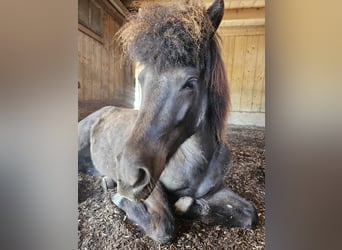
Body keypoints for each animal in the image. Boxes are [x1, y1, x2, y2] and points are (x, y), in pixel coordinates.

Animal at [79, 0, 258, 243]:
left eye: (190, 82)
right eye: (141, 78)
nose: (127, 176)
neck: (197, 162)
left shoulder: (216, 190)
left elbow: (250, 214)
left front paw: (189, 206)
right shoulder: (153, 185)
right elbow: (162, 226)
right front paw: (119, 198)